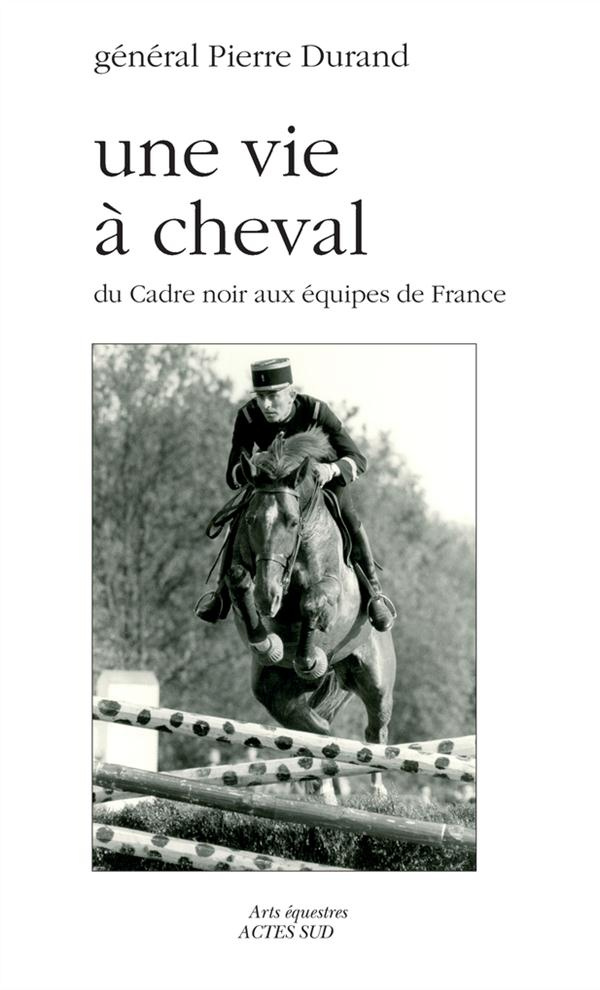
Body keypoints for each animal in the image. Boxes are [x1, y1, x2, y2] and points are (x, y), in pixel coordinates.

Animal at [224, 429, 397, 799]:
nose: (268, 595)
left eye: (292, 522)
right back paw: (322, 783)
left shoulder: (330, 586)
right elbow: (239, 580)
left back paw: (376, 790)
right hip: (275, 693)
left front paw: (307, 658)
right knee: (316, 729)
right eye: (251, 520)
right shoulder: (245, 570)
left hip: (375, 679)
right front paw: (266, 643)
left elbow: (313, 603)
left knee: (376, 729)